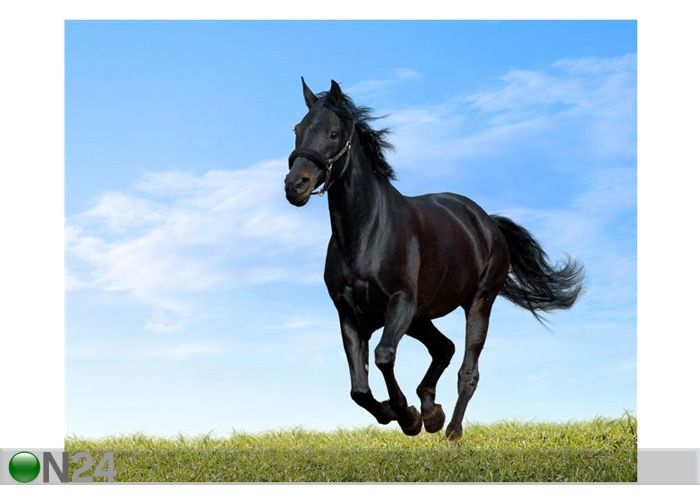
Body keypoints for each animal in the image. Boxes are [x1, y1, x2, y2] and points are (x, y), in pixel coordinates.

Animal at [284, 78, 584, 441]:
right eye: (298, 129)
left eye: (332, 133)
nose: (295, 185)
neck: (366, 233)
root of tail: (486, 222)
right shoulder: (350, 314)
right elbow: (359, 389)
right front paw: (401, 413)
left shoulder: (400, 302)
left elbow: (384, 357)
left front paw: (407, 416)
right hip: (420, 317)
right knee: (444, 348)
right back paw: (431, 411)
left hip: (477, 303)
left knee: (467, 370)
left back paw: (450, 430)